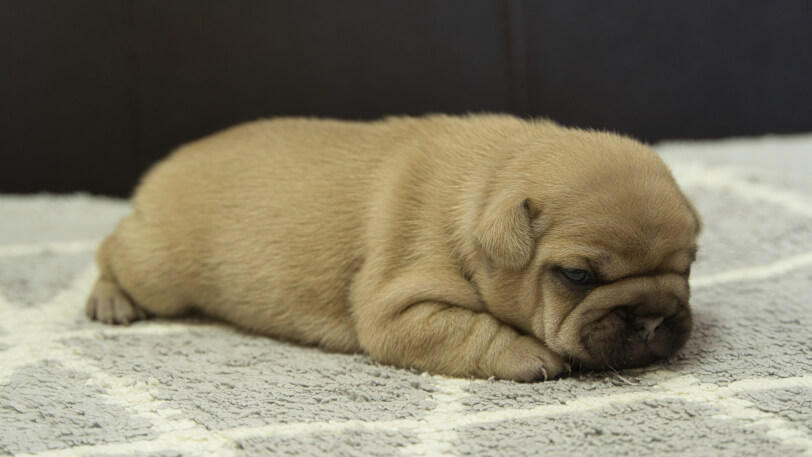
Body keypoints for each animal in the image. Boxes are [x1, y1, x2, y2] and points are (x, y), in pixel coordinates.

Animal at [87, 114, 696, 382]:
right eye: (577, 276)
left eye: (689, 268)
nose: (650, 318)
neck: (484, 182)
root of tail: (165, 166)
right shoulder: (400, 308)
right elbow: (472, 332)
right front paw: (531, 356)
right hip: (159, 269)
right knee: (113, 248)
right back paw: (109, 300)